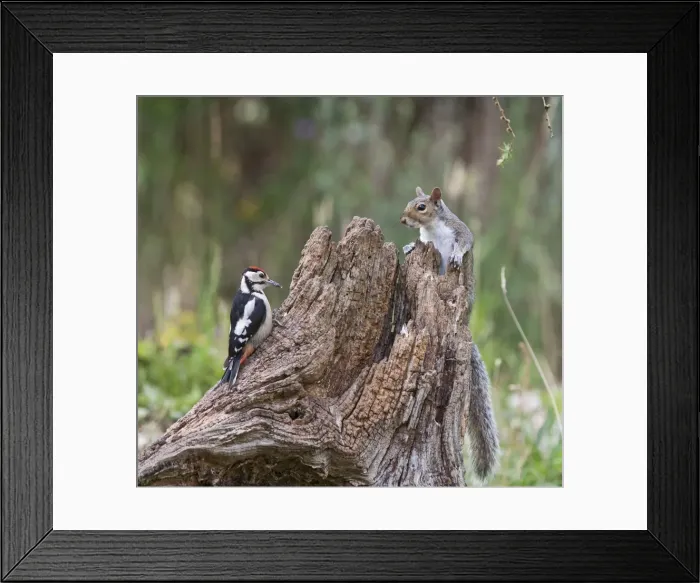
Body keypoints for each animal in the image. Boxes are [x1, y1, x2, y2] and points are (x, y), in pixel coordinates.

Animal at [400, 185, 500, 483]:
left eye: (421, 207)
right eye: (409, 202)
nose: (403, 220)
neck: (432, 228)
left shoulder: (460, 230)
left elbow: (465, 242)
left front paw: (456, 254)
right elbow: (416, 244)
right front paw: (408, 246)